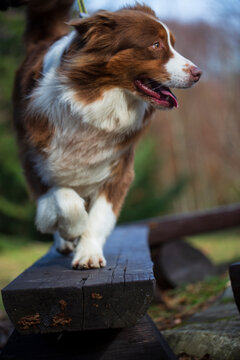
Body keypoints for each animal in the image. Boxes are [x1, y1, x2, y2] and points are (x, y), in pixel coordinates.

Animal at [12, 1, 201, 268]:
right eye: (156, 45)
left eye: (172, 43)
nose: (198, 73)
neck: (92, 99)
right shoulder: (35, 159)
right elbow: (64, 199)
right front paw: (71, 230)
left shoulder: (117, 165)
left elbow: (100, 214)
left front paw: (88, 252)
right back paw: (64, 240)